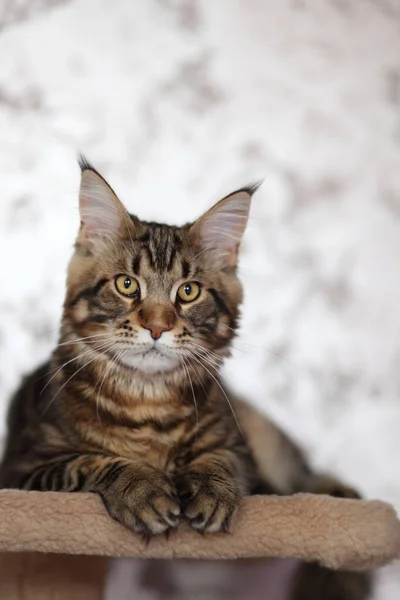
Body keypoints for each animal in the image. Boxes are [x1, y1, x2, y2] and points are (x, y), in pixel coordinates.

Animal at [0, 159, 372, 600]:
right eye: (127, 284)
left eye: (189, 291)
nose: (157, 327)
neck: (147, 401)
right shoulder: (25, 469)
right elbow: (90, 462)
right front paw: (142, 489)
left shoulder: (238, 449)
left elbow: (218, 459)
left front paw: (210, 491)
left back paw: (341, 493)